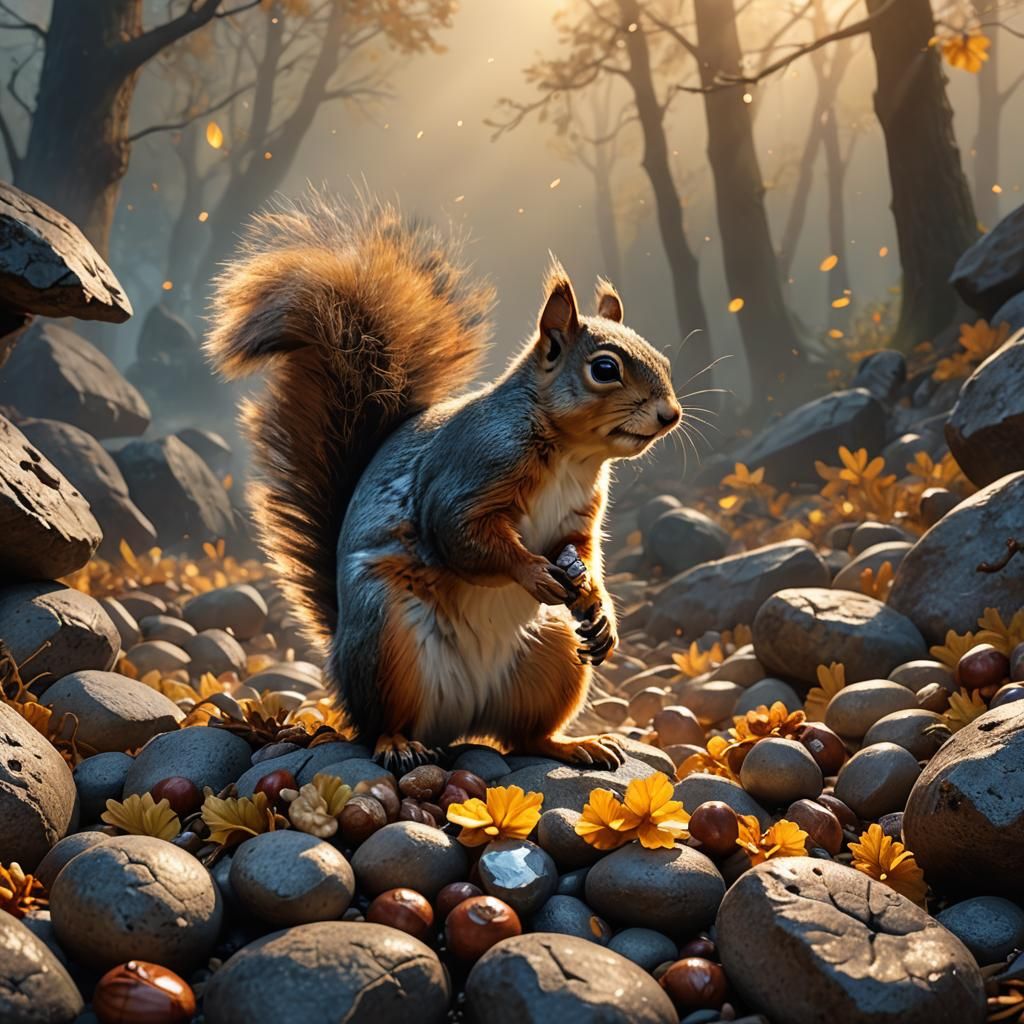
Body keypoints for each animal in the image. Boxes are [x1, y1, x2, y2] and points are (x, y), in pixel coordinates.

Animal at [206, 194, 681, 773]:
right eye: (606, 369)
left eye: (662, 358)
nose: (671, 415)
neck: (574, 455)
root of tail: (460, 721)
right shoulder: (469, 472)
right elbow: (463, 537)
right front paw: (535, 573)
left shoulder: (579, 515)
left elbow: (582, 550)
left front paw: (596, 601)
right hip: (386, 639)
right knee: (383, 722)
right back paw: (398, 744)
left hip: (552, 656)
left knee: (525, 737)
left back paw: (573, 744)